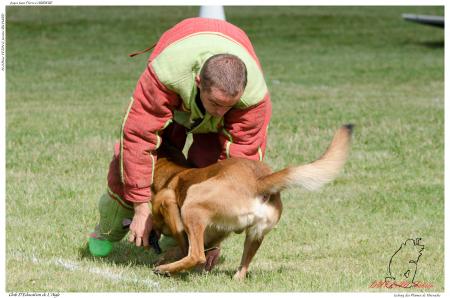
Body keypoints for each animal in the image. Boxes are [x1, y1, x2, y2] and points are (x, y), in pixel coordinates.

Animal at [150, 123, 352, 280]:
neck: (173, 171)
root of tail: (258, 181)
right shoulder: (212, 235)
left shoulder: (167, 201)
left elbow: (182, 244)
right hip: (256, 235)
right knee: (241, 268)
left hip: (192, 203)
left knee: (196, 255)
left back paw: (164, 270)